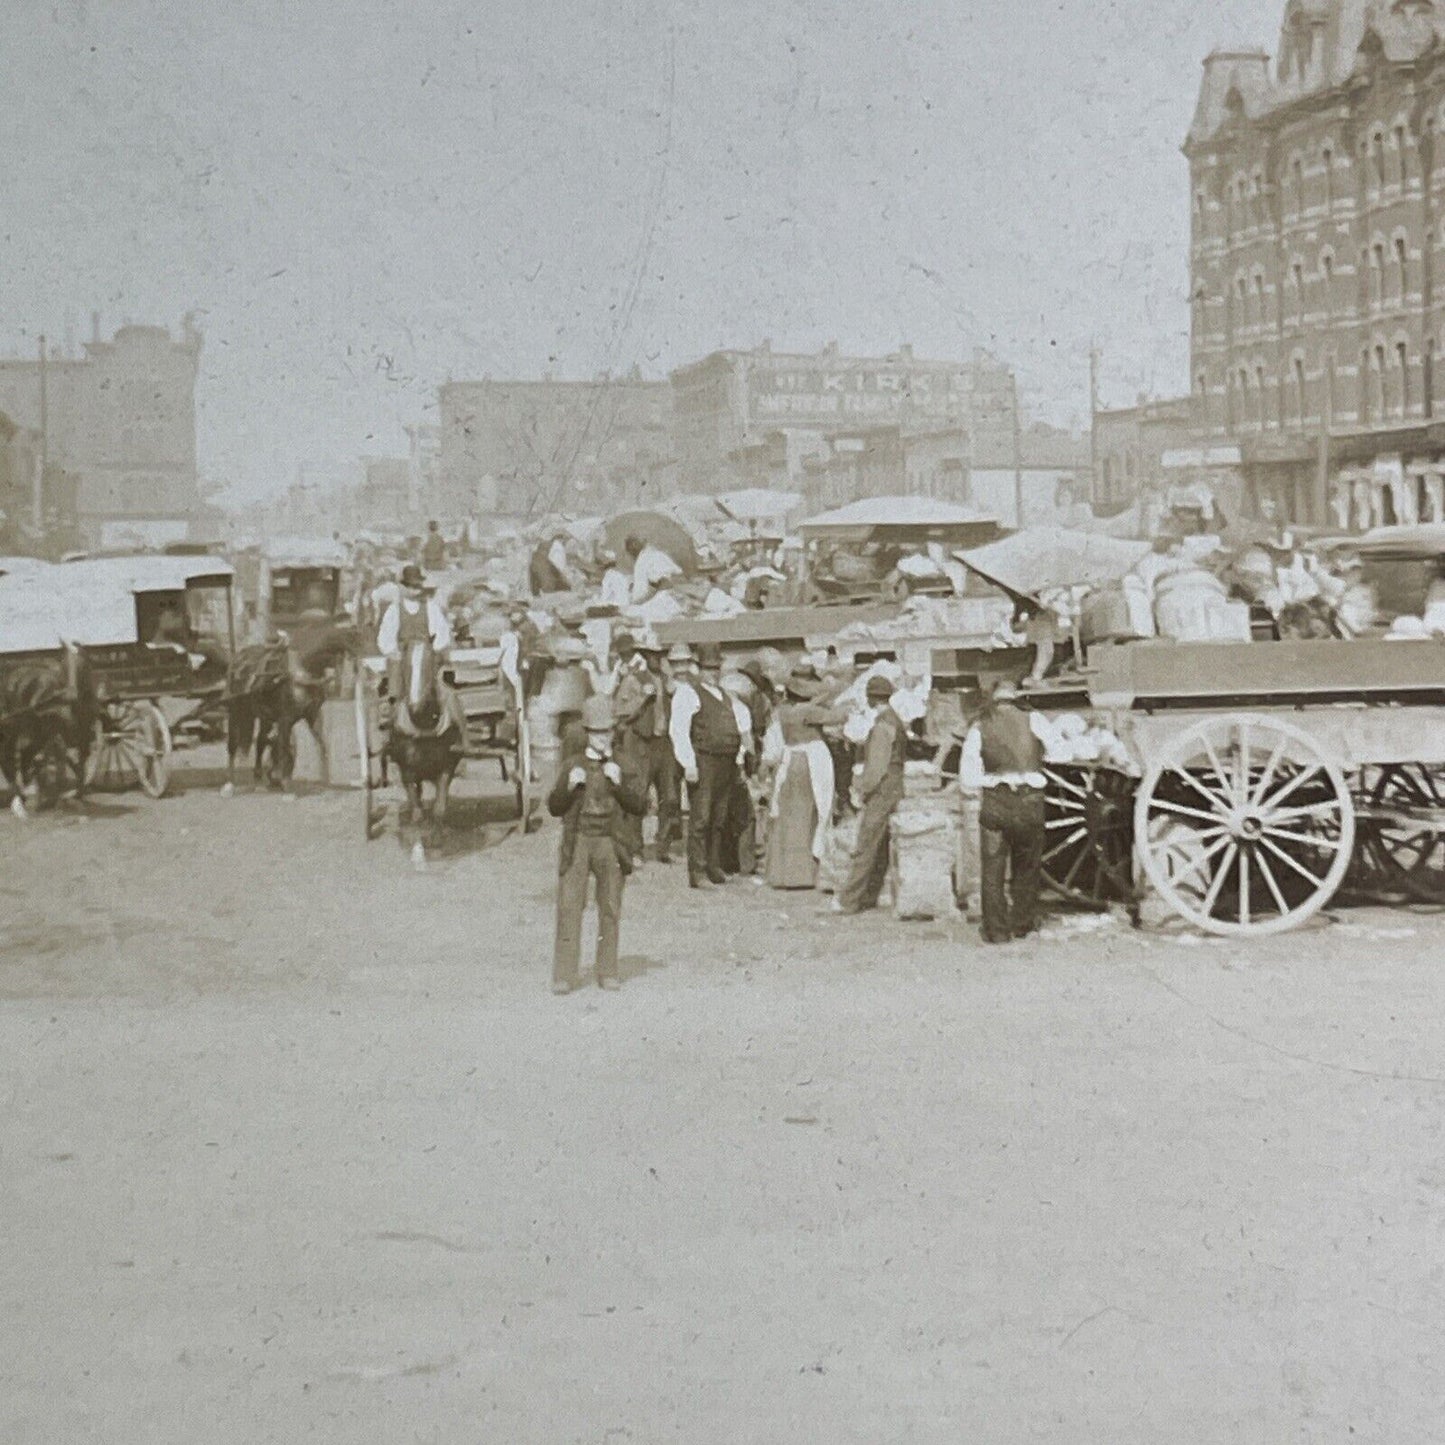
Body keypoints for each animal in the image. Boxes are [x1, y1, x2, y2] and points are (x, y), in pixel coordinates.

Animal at [229, 621, 359, 797]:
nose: (337, 684)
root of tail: (238, 658)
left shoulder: (312, 716)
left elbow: (322, 745)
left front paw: (326, 783)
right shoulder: (285, 720)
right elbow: (284, 748)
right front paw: (286, 784)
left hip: (265, 716)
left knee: (261, 742)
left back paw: (258, 781)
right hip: (236, 712)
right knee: (233, 744)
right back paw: (230, 784)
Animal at [384, 635, 462, 826]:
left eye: (433, 662)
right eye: (405, 665)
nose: (416, 707)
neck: (424, 724)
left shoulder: (448, 765)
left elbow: (439, 809)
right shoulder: (406, 769)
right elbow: (416, 811)